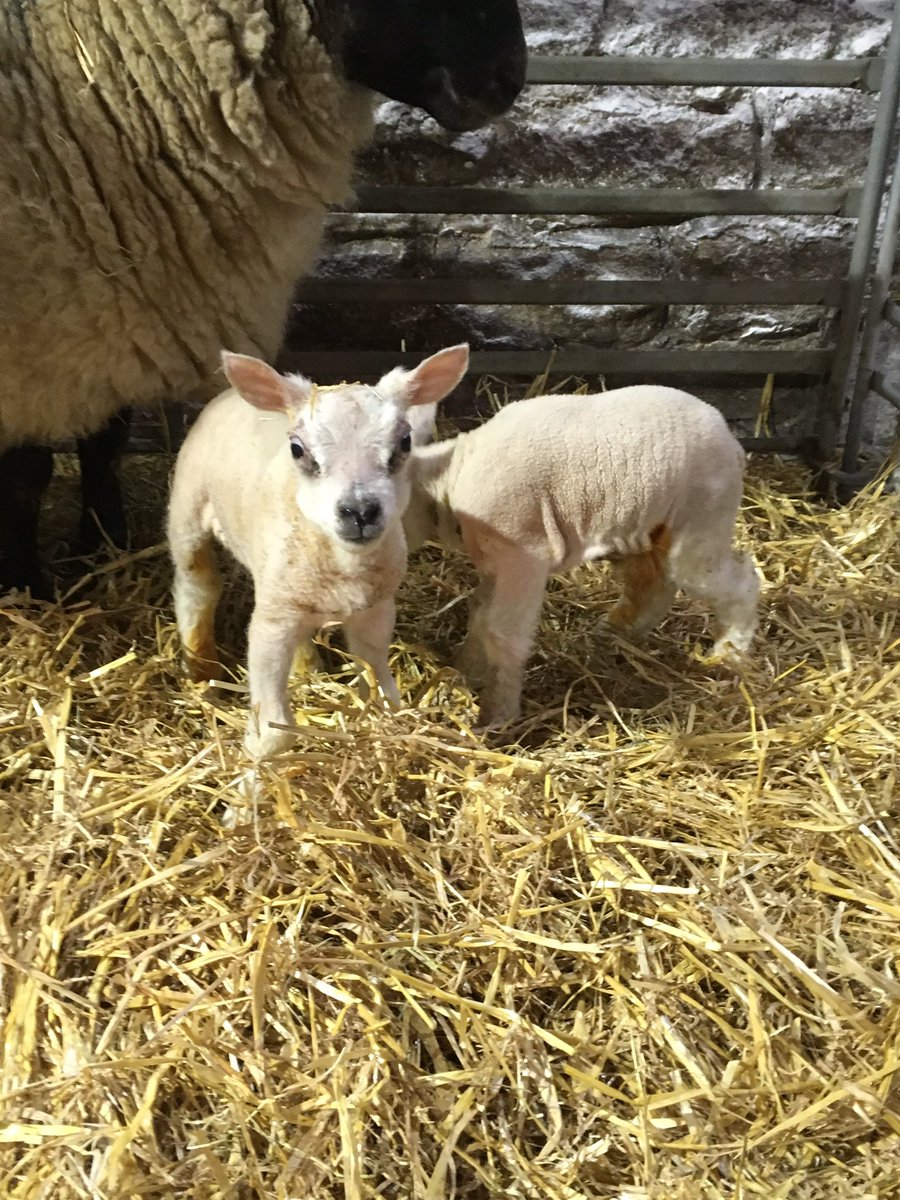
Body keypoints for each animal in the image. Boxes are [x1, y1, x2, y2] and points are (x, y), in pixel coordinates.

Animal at [0, 0, 526, 597]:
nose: (510, 79)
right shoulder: (40, 325)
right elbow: (27, 474)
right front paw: (26, 585)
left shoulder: (104, 306)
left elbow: (103, 447)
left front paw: (104, 549)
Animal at [168, 345, 469, 759]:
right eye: (297, 449)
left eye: (405, 443)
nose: (360, 511)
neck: (343, 566)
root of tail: (227, 394)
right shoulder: (270, 624)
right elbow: (275, 729)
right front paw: (256, 764)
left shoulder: (375, 609)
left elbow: (383, 690)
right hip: (188, 510)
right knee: (196, 588)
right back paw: (201, 671)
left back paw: (307, 670)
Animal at [404, 354, 761, 726]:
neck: (451, 477)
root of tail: (734, 444)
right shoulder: (494, 561)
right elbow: (479, 613)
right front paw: (467, 671)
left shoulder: (523, 556)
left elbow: (502, 632)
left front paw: (498, 716)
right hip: (643, 526)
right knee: (654, 584)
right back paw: (614, 635)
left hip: (702, 520)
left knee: (740, 580)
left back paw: (730, 656)